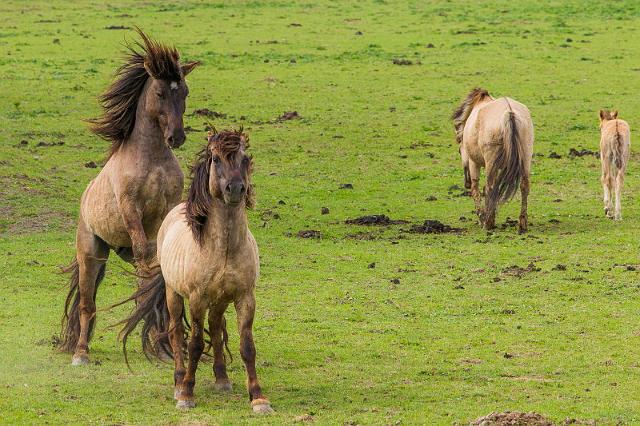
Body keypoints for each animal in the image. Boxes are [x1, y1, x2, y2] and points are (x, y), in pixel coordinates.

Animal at [60, 28, 200, 364]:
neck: (151, 158)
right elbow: (143, 251)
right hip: (91, 253)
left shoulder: (167, 208)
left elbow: (150, 261)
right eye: (160, 93)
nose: (176, 137)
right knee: (86, 304)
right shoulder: (130, 208)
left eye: (185, 92)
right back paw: (81, 352)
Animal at [450, 87, 536, 233]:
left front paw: (482, 217)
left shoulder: (474, 163)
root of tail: (509, 112)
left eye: (459, 151)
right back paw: (522, 224)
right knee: (524, 186)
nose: (466, 182)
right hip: (525, 158)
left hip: (490, 162)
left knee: (489, 188)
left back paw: (487, 224)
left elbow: (476, 190)